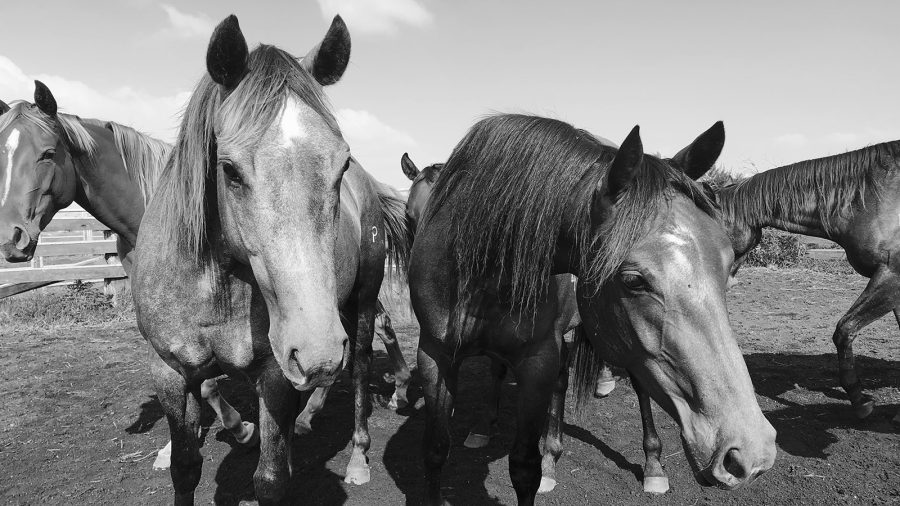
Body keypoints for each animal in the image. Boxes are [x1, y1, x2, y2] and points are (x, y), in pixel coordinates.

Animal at [132, 15, 409, 503]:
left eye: (341, 164)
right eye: (229, 170)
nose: (316, 350)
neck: (214, 284)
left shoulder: (275, 374)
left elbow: (272, 478)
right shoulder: (169, 371)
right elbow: (185, 468)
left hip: (359, 302)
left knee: (357, 367)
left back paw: (357, 458)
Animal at [409, 114, 776, 505]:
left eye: (729, 263)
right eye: (632, 280)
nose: (752, 452)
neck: (479, 267)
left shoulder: (537, 359)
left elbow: (523, 466)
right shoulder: (434, 354)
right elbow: (435, 450)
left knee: (636, 387)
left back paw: (652, 467)